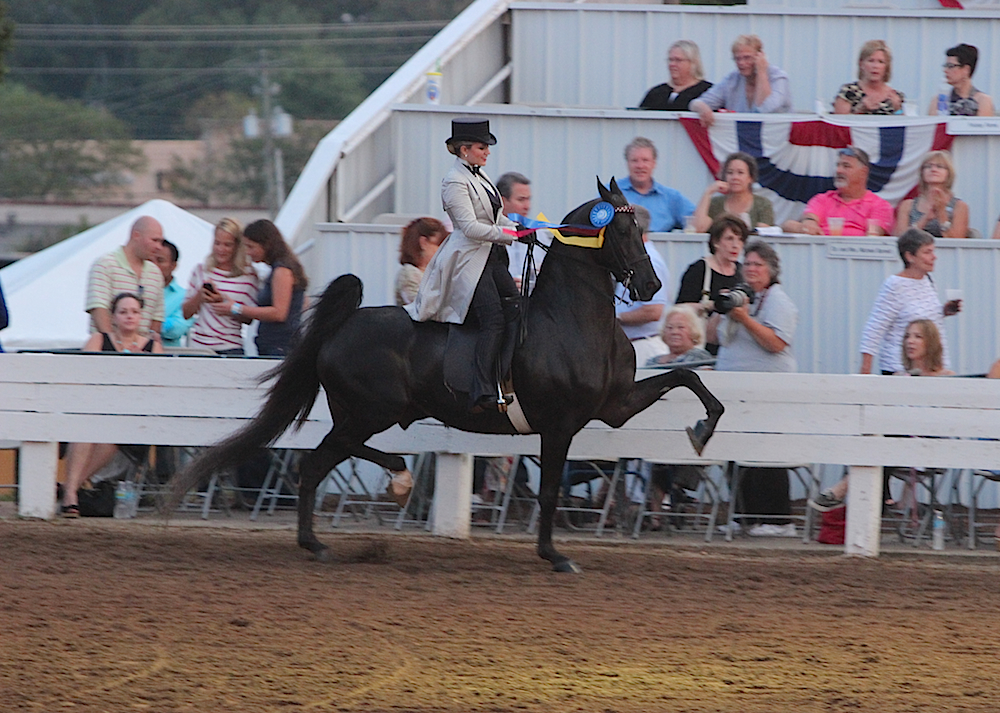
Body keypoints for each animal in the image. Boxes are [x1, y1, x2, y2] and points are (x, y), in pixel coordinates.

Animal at [170, 179, 720, 572]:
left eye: (640, 229)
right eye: (622, 232)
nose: (650, 285)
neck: (572, 318)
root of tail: (344, 324)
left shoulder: (614, 407)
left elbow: (687, 378)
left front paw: (701, 431)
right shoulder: (560, 426)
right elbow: (548, 491)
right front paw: (555, 557)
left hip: (364, 412)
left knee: (322, 461)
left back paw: (335, 527)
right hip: (372, 410)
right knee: (327, 457)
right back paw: (373, 497)